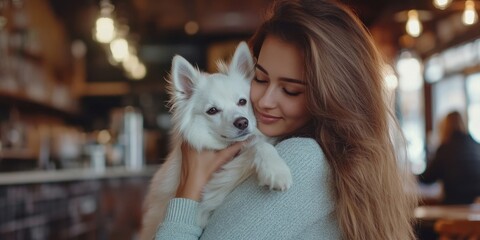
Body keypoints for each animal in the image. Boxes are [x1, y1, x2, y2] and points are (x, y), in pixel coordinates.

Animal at [139, 41, 292, 240]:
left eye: (242, 102)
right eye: (212, 111)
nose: (242, 122)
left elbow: (259, 144)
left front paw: (275, 169)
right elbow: (256, 145)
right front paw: (276, 171)